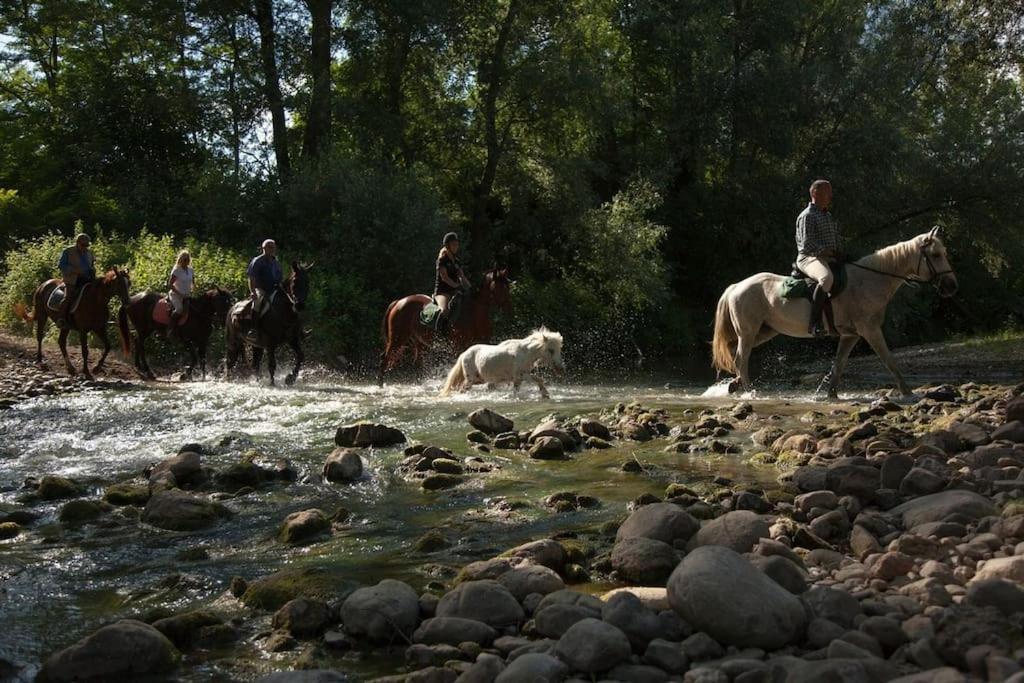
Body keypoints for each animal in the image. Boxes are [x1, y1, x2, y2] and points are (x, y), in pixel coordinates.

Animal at [376, 266, 512, 385]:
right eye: (500, 288)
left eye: (508, 287)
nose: (508, 308)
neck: (473, 312)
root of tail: (399, 301)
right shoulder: (458, 346)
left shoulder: (482, 342)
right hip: (397, 339)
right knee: (384, 358)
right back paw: (380, 385)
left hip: (418, 341)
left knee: (417, 362)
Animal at [440, 327, 569, 397]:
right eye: (551, 350)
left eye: (559, 349)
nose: (561, 369)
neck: (525, 352)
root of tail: (464, 354)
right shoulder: (520, 376)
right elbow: (538, 379)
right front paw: (545, 394)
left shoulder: (519, 379)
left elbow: (518, 389)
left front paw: (545, 394)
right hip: (470, 379)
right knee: (462, 389)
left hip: (479, 379)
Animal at [716, 228, 954, 401]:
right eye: (935, 255)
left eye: (944, 253)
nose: (951, 286)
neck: (869, 281)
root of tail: (737, 286)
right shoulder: (870, 330)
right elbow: (888, 360)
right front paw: (908, 392)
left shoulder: (850, 335)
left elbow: (839, 365)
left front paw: (831, 394)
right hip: (749, 332)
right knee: (741, 359)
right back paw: (749, 392)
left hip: (764, 332)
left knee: (734, 352)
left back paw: (734, 384)